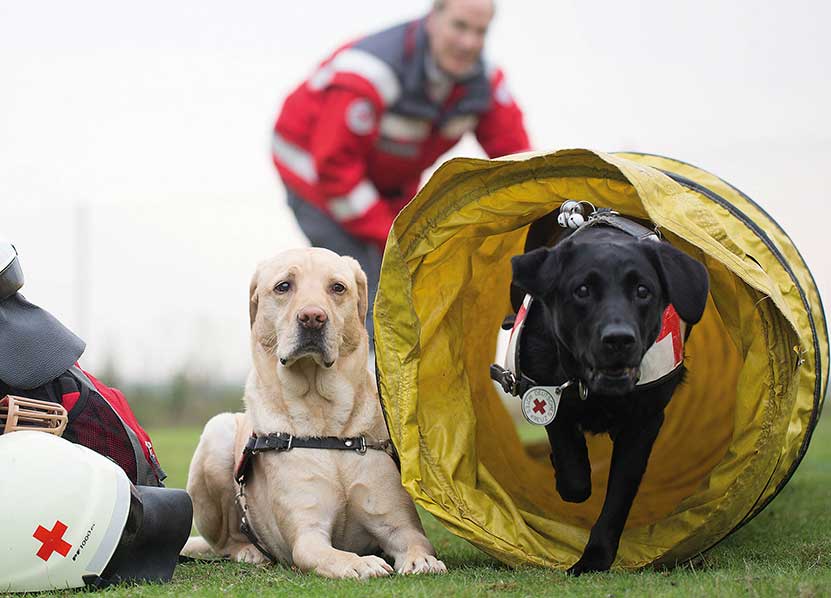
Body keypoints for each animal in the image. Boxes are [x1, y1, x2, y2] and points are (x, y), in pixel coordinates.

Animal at [181, 248, 442, 580]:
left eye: (338, 288)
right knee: (226, 541)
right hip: (217, 433)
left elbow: (419, 542)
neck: (326, 421)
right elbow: (331, 555)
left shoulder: (398, 524)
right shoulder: (308, 535)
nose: (313, 317)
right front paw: (361, 563)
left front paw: (423, 561)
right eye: (283, 286)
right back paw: (249, 551)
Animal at [512, 218, 708, 576]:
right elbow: (574, 474)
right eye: (582, 291)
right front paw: (562, 470)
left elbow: (618, 496)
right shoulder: (545, 389)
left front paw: (593, 559)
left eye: (643, 291)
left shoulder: (644, 423)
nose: (618, 339)